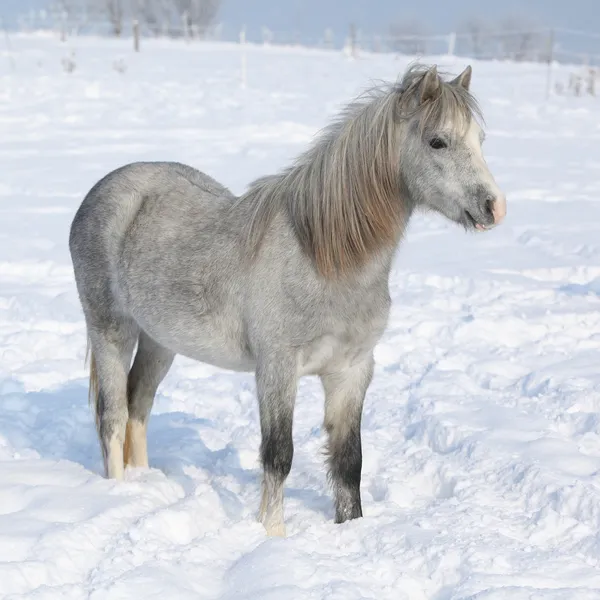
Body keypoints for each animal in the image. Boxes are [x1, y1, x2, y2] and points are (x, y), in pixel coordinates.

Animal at [70, 63, 506, 536]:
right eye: (437, 141)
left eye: (480, 139)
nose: (494, 207)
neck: (323, 257)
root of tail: (107, 187)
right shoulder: (277, 368)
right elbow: (279, 455)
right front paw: (272, 535)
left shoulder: (352, 371)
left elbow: (349, 461)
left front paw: (349, 528)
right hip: (111, 331)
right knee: (112, 417)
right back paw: (118, 494)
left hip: (160, 341)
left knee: (138, 406)